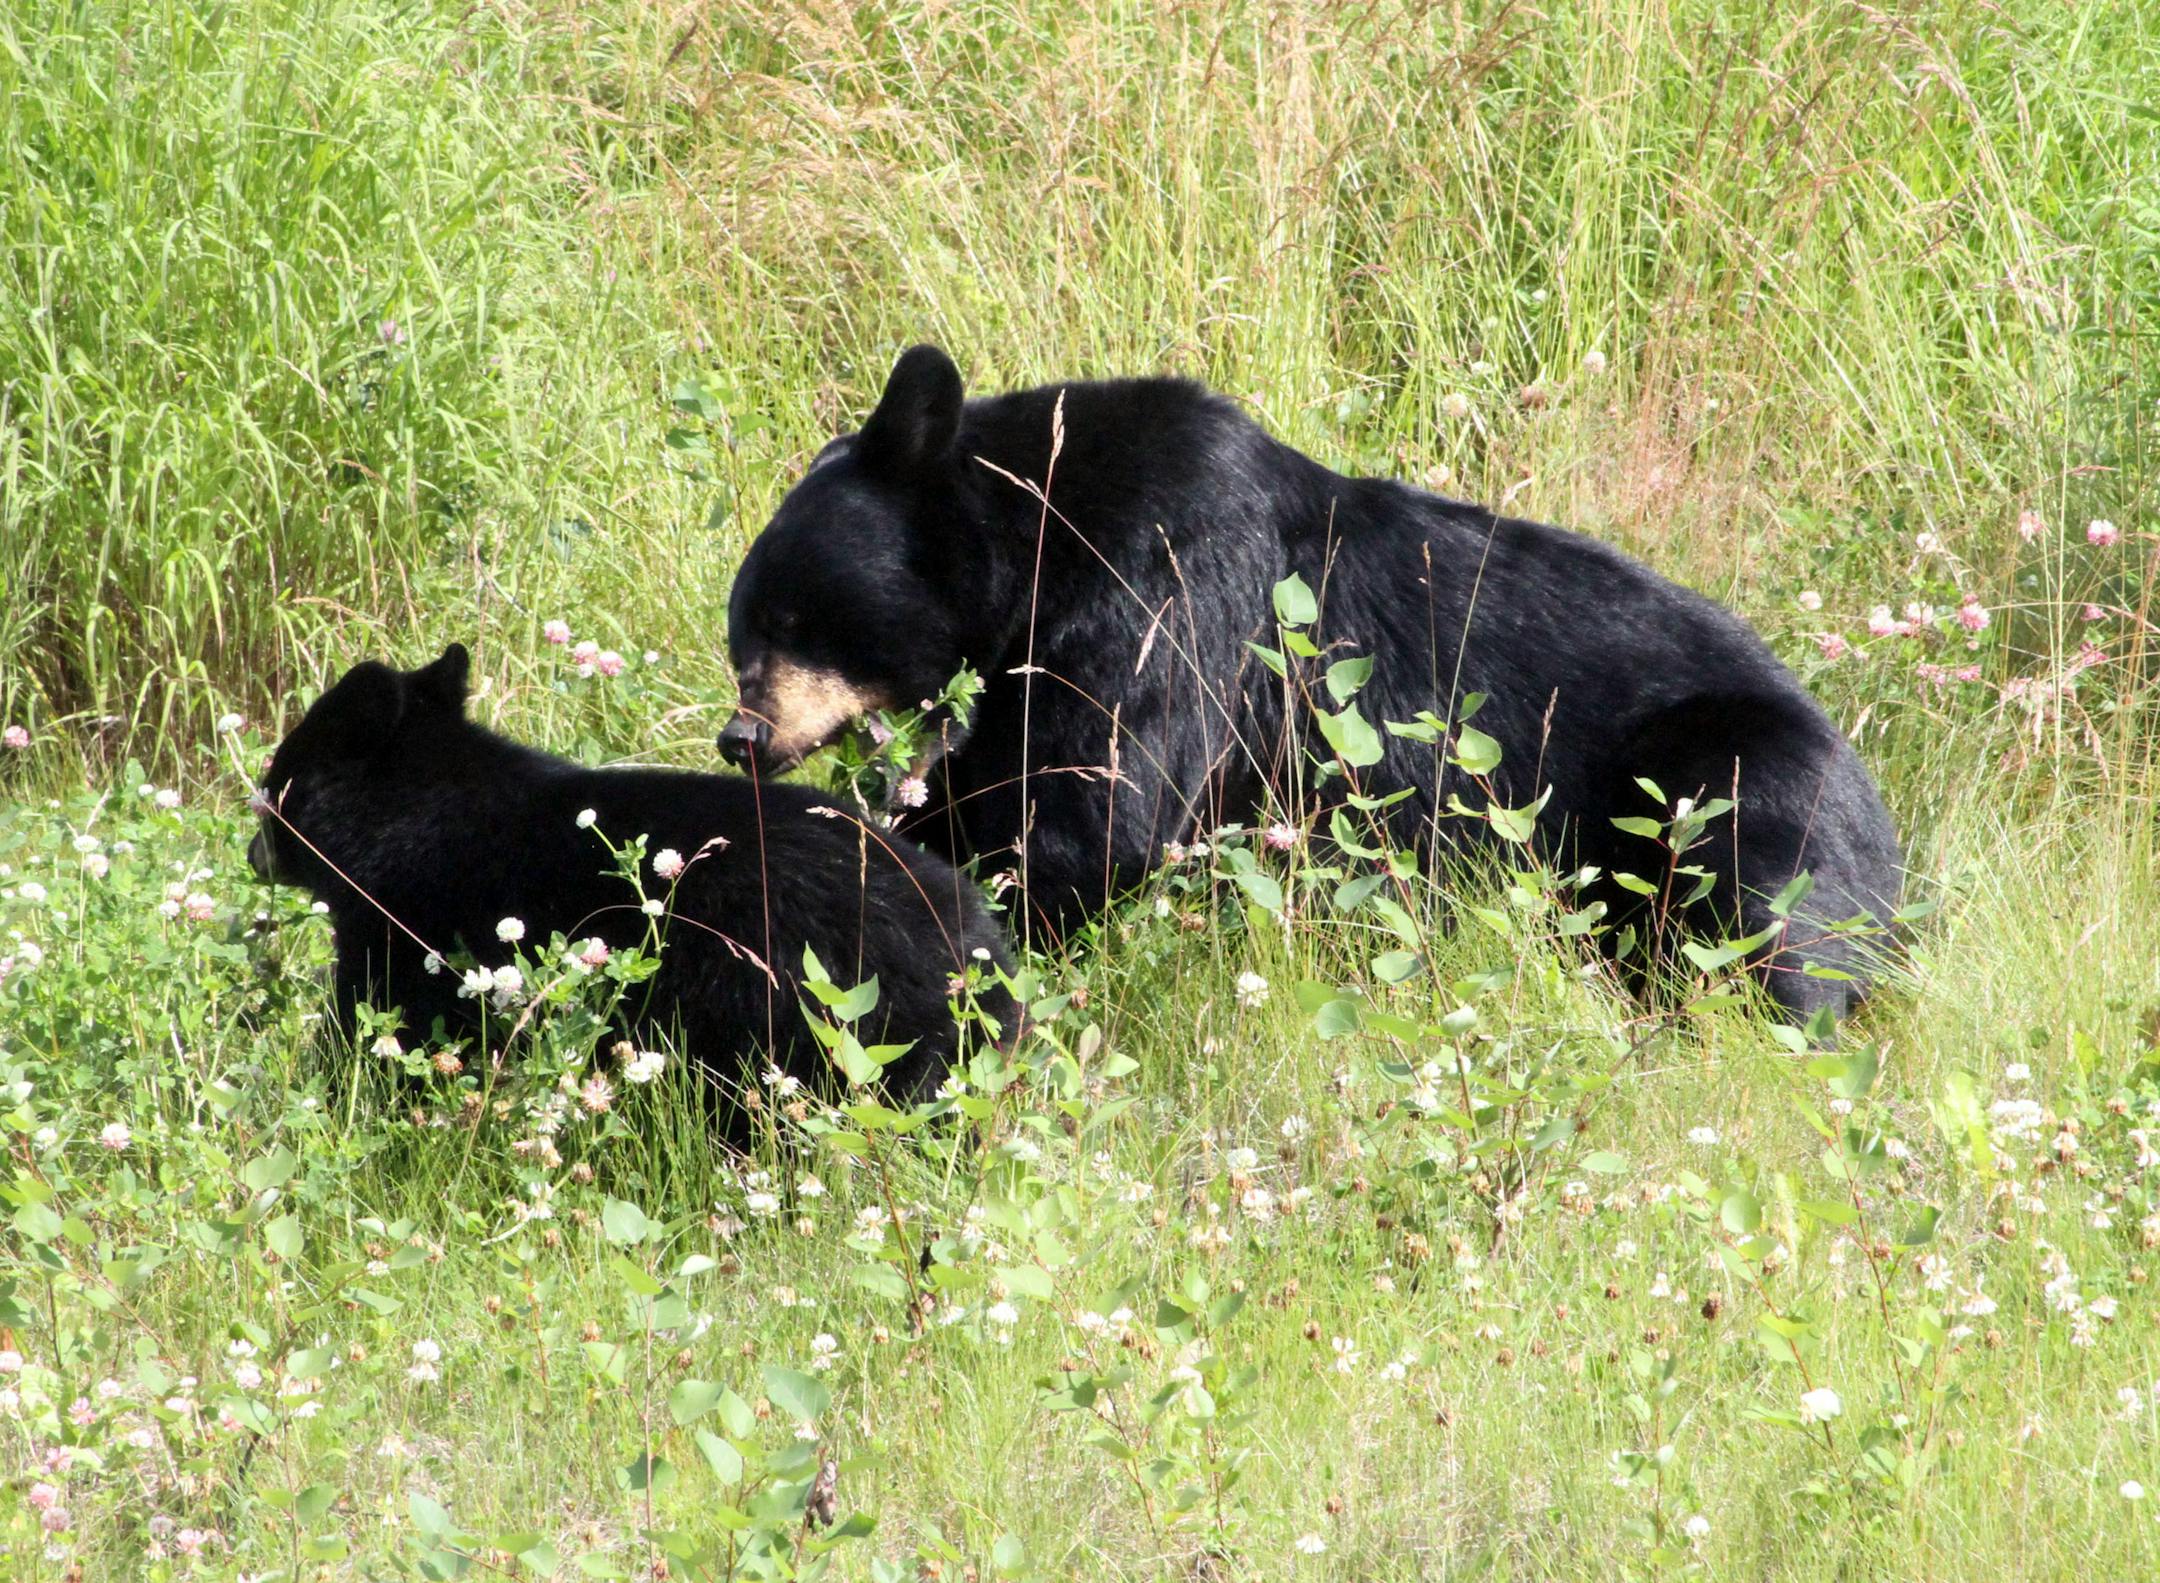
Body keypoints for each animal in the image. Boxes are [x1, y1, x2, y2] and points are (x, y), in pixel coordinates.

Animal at [249, 643, 1016, 1115]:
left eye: (273, 784)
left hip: (791, 1005)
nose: (255, 853)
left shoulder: (410, 924)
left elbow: (378, 1030)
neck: (406, 815)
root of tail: (975, 949)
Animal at [718, 345, 1902, 1023]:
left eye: (787, 618)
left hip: (1729, 777)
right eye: (743, 631)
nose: (744, 738)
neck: (1041, 530)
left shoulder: (1170, 577)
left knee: (1757, 903)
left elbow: (1093, 802)